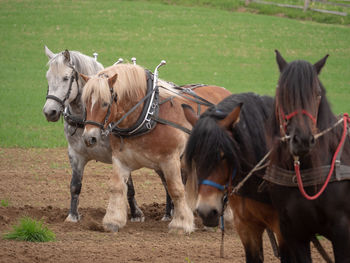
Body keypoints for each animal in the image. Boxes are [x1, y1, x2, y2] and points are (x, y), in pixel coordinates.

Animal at [80, 62, 231, 233]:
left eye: (105, 103)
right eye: (85, 103)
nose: (89, 138)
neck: (149, 116)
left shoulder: (170, 159)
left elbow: (176, 190)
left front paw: (181, 223)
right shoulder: (120, 159)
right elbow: (117, 187)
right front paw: (113, 220)